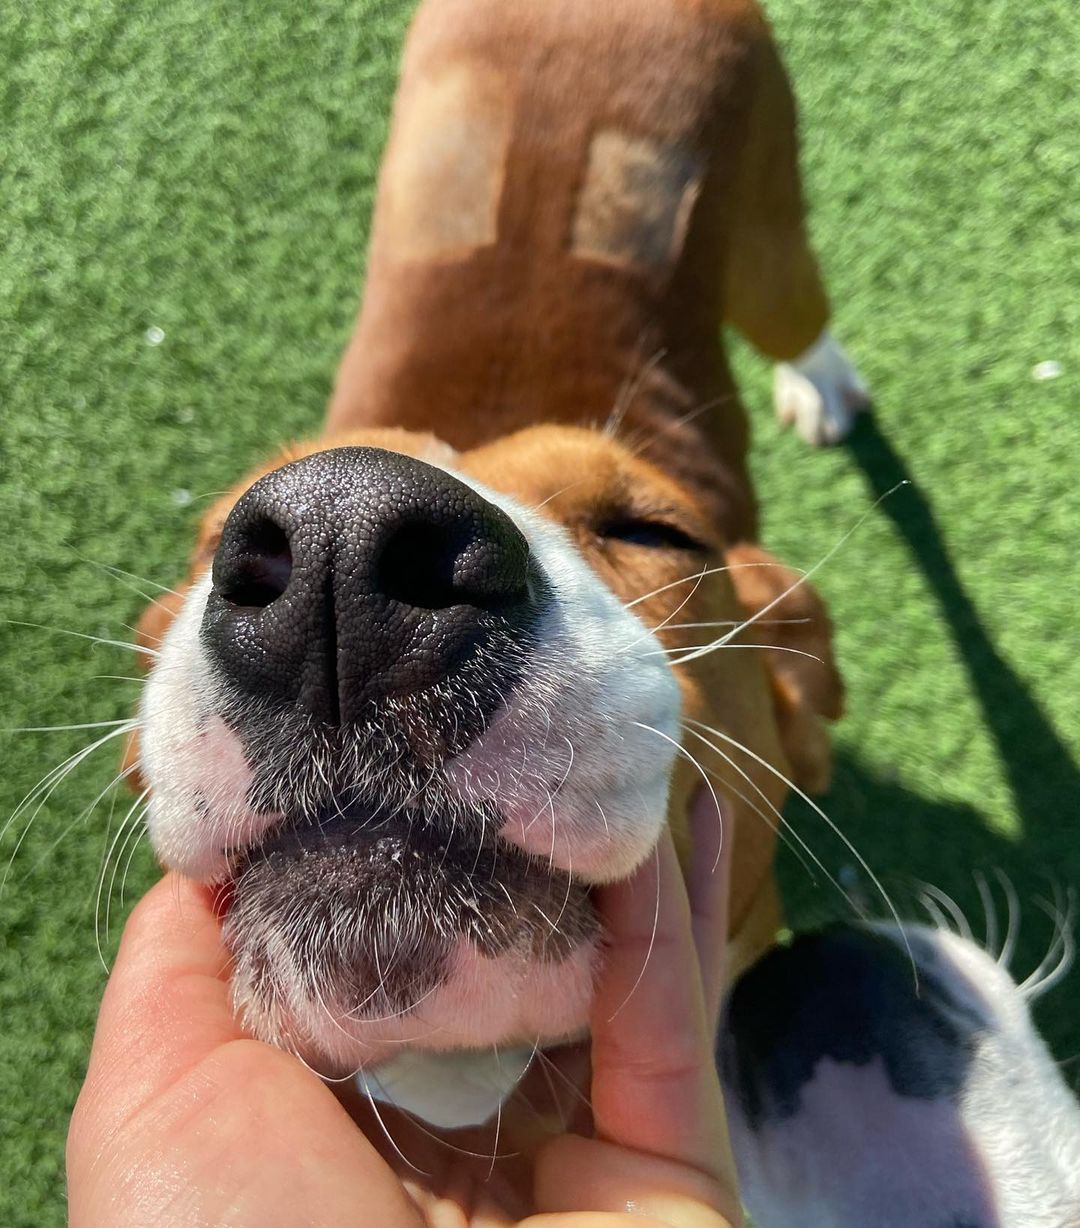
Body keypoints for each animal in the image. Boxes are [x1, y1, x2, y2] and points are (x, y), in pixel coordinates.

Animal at [129, 0, 855, 1124]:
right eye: (216, 542)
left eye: (657, 530)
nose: (339, 549)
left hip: (773, 236)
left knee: (802, 312)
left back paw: (821, 383)